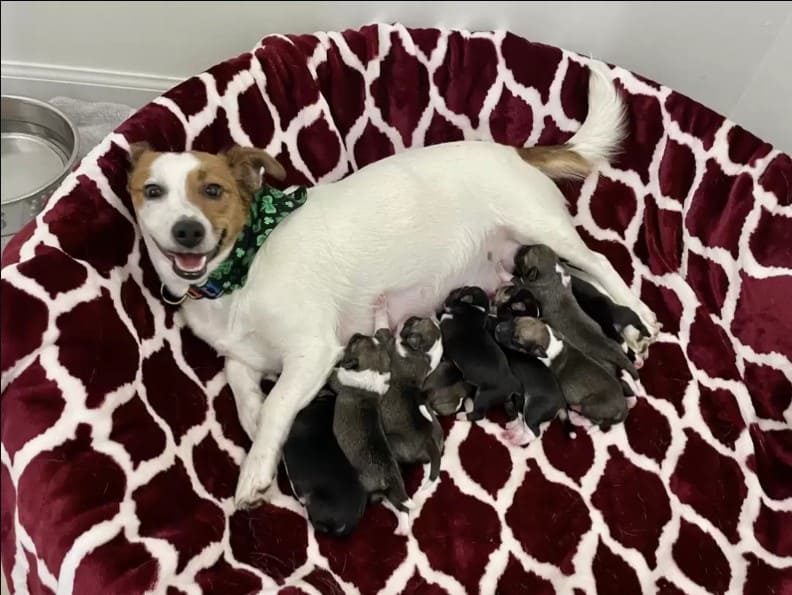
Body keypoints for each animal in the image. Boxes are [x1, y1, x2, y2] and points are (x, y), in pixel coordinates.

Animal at [378, 318, 446, 482]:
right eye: (419, 319)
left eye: (414, 322)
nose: (406, 319)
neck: (423, 353)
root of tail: (428, 441)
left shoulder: (391, 348)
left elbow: (388, 340)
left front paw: (383, 333)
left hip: (392, 442)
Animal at [436, 286, 524, 422]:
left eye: (458, 292)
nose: (449, 292)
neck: (475, 308)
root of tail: (513, 384)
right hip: (505, 399)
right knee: (511, 411)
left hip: (483, 397)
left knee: (478, 415)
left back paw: (463, 415)